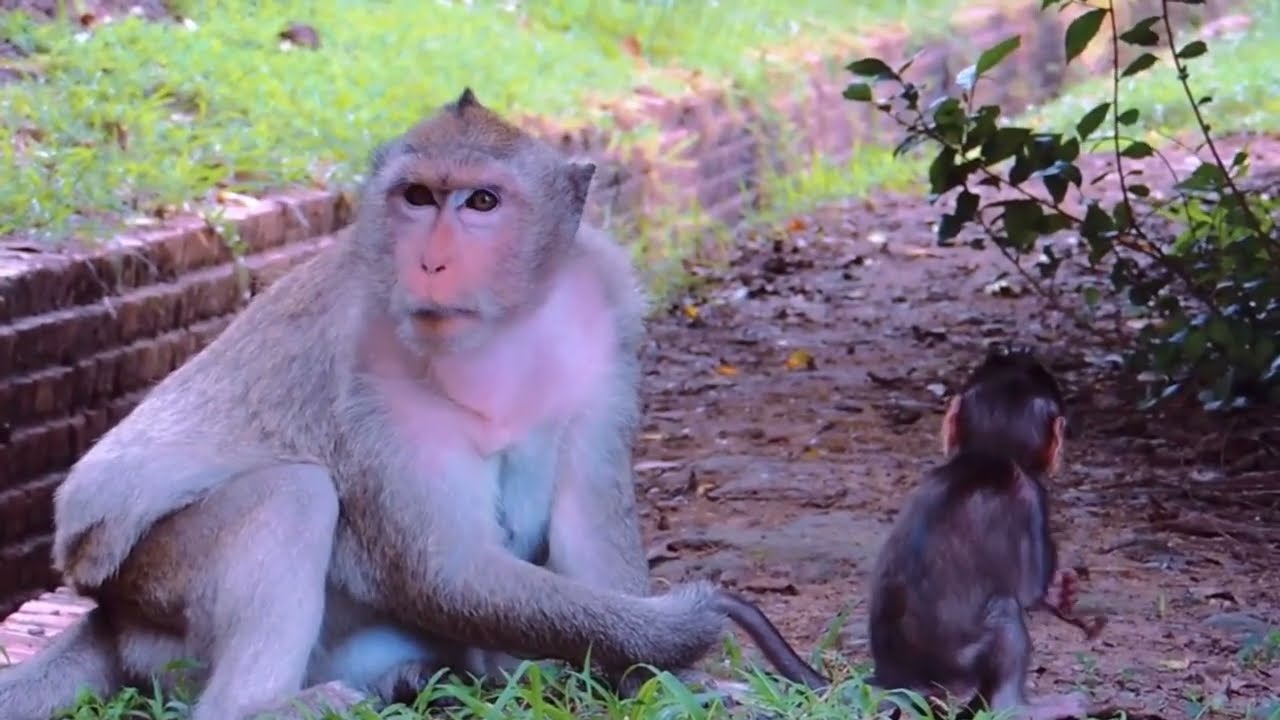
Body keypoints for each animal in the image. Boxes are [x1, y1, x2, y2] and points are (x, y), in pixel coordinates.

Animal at [0, 88, 750, 720]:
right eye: (417, 196)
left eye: (482, 202)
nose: (431, 264)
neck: (500, 332)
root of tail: (110, 619)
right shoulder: (370, 357)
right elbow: (446, 573)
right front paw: (687, 627)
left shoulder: (604, 317)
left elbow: (586, 534)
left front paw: (673, 682)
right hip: (155, 583)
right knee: (293, 494)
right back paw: (270, 705)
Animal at [864, 347, 1101, 720]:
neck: (991, 453)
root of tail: (900, 681)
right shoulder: (1034, 499)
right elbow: (1029, 592)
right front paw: (1059, 594)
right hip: (959, 669)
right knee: (1006, 612)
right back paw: (1021, 706)